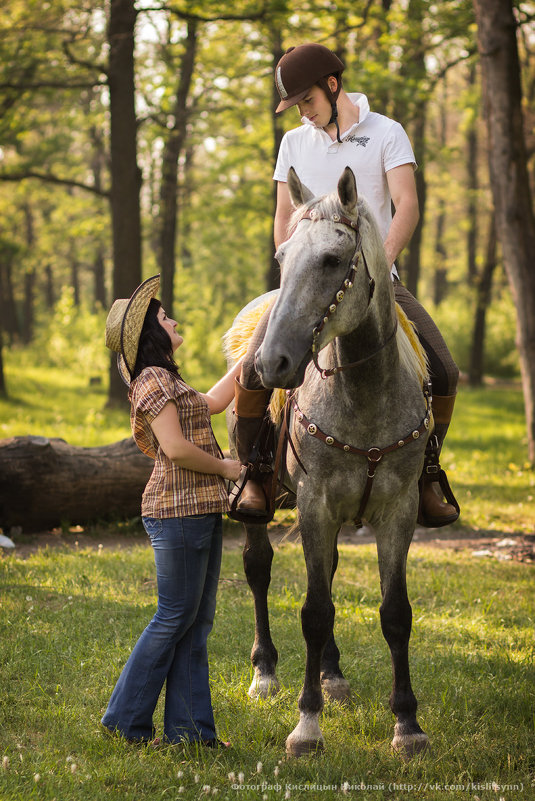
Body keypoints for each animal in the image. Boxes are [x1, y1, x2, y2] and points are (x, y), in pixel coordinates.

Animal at [228, 167, 434, 756]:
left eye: (332, 260)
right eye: (282, 256)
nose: (272, 362)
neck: (363, 396)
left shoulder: (398, 511)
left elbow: (395, 613)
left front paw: (407, 724)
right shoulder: (314, 504)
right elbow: (314, 612)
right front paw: (307, 725)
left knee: (332, 571)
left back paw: (333, 674)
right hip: (263, 500)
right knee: (258, 567)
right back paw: (266, 672)